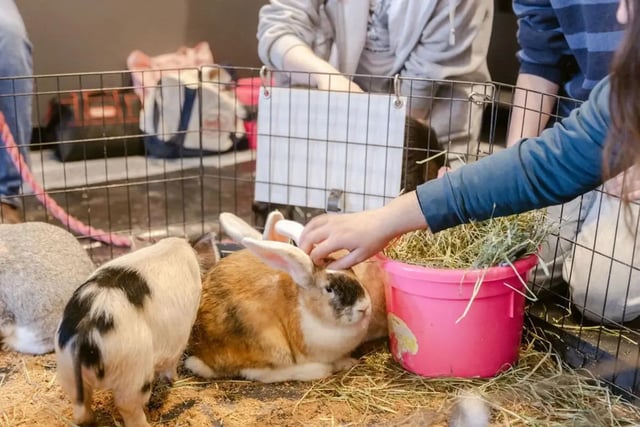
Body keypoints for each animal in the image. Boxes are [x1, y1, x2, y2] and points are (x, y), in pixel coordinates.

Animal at [55, 237, 209, 427]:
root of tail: (88, 333)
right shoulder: (180, 336)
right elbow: (171, 364)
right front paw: (173, 379)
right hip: (133, 373)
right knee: (128, 406)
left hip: (67, 369)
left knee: (80, 406)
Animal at [185, 216, 372, 383]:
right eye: (329, 289)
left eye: (353, 272)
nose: (364, 308)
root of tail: (200, 349)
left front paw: (348, 362)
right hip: (268, 341)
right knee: (258, 373)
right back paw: (316, 370)